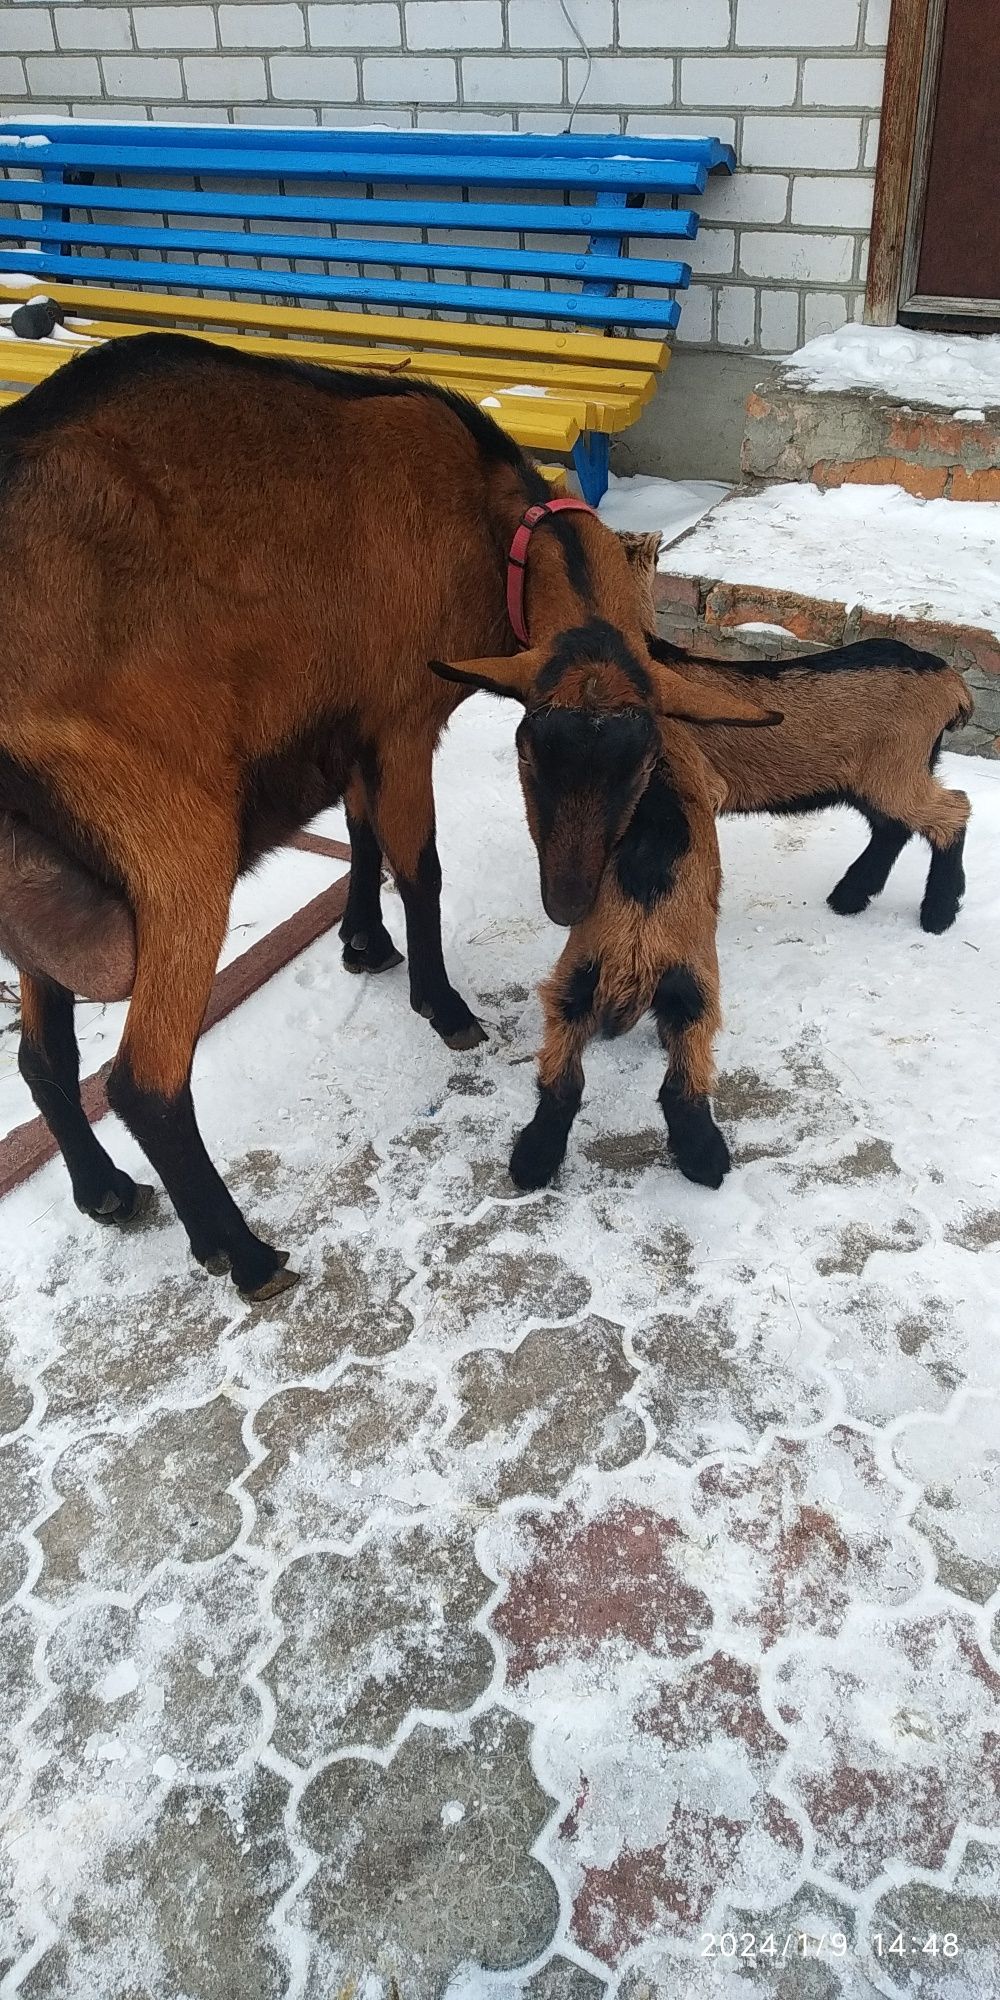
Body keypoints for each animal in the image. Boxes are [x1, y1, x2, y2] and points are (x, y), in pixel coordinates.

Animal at [0, 334, 772, 1288]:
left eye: (641, 763)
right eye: (528, 751)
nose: (566, 902)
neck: (491, 519)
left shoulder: (357, 721)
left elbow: (364, 833)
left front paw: (363, 943)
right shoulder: (404, 717)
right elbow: (422, 868)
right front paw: (442, 1007)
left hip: (41, 885)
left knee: (45, 1054)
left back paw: (103, 1190)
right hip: (173, 837)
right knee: (144, 1077)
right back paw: (244, 1253)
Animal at [620, 532, 972, 936]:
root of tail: (951, 683)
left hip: (898, 766)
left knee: (952, 810)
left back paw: (937, 914)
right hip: (880, 774)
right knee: (893, 826)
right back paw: (849, 897)